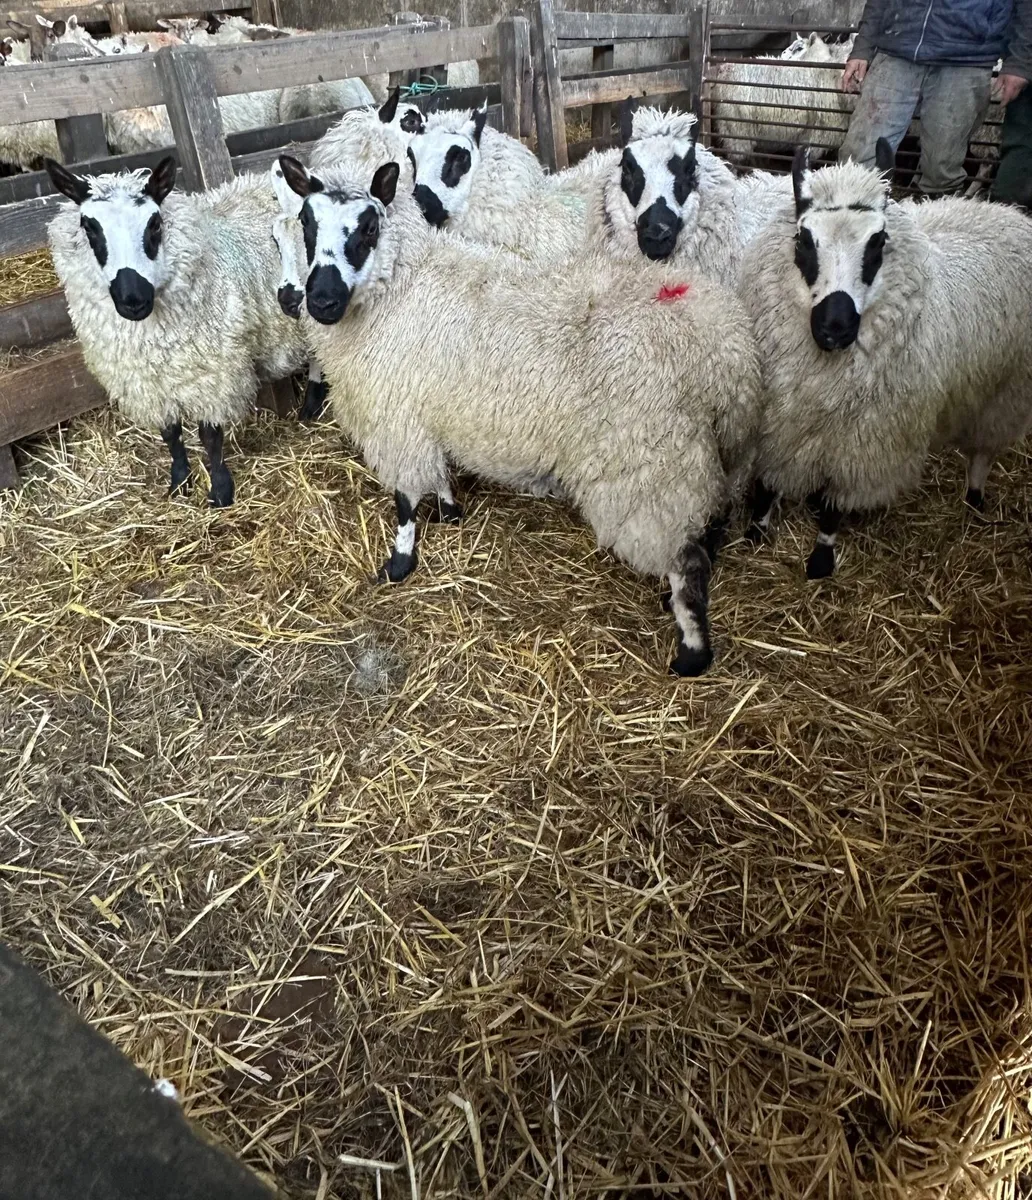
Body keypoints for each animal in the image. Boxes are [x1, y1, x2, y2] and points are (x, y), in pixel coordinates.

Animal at [45, 157, 307, 506]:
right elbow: (170, 434)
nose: (133, 299)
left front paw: (220, 491)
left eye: (154, 224)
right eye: (89, 227)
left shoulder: (213, 373)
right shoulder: (150, 384)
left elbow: (210, 436)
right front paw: (180, 482)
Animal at [275, 153, 763, 676]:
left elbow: (405, 502)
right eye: (307, 223)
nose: (320, 301)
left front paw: (399, 564)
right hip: (717, 455)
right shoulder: (427, 413)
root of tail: (722, 350)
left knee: (686, 563)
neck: (402, 287)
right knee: (709, 530)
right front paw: (449, 512)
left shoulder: (397, 421)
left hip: (651, 470)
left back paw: (691, 653)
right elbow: (439, 476)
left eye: (367, 228)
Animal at [711, 32, 856, 168]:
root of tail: (725, 69)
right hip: (735, 127)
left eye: (799, 48)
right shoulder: (818, 136)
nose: (783, 53)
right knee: (736, 159)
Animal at [740, 140, 1032, 579]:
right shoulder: (781, 422)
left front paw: (821, 558)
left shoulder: (864, 444)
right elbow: (767, 485)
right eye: (803, 240)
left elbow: (833, 506)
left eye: (877, 242)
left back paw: (975, 496)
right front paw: (757, 530)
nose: (835, 326)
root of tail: (1007, 212)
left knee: (983, 451)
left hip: (1005, 392)